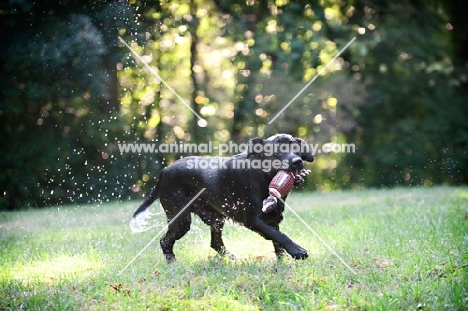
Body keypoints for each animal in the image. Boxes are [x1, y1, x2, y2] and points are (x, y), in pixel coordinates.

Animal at [131, 134, 314, 264]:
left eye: (296, 148)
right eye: (276, 153)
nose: (297, 161)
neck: (262, 176)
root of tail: (165, 170)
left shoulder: (272, 217)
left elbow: (277, 239)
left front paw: (282, 261)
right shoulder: (253, 219)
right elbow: (280, 236)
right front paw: (297, 251)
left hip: (215, 218)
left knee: (215, 243)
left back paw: (230, 259)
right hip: (181, 219)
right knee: (164, 240)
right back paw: (172, 262)